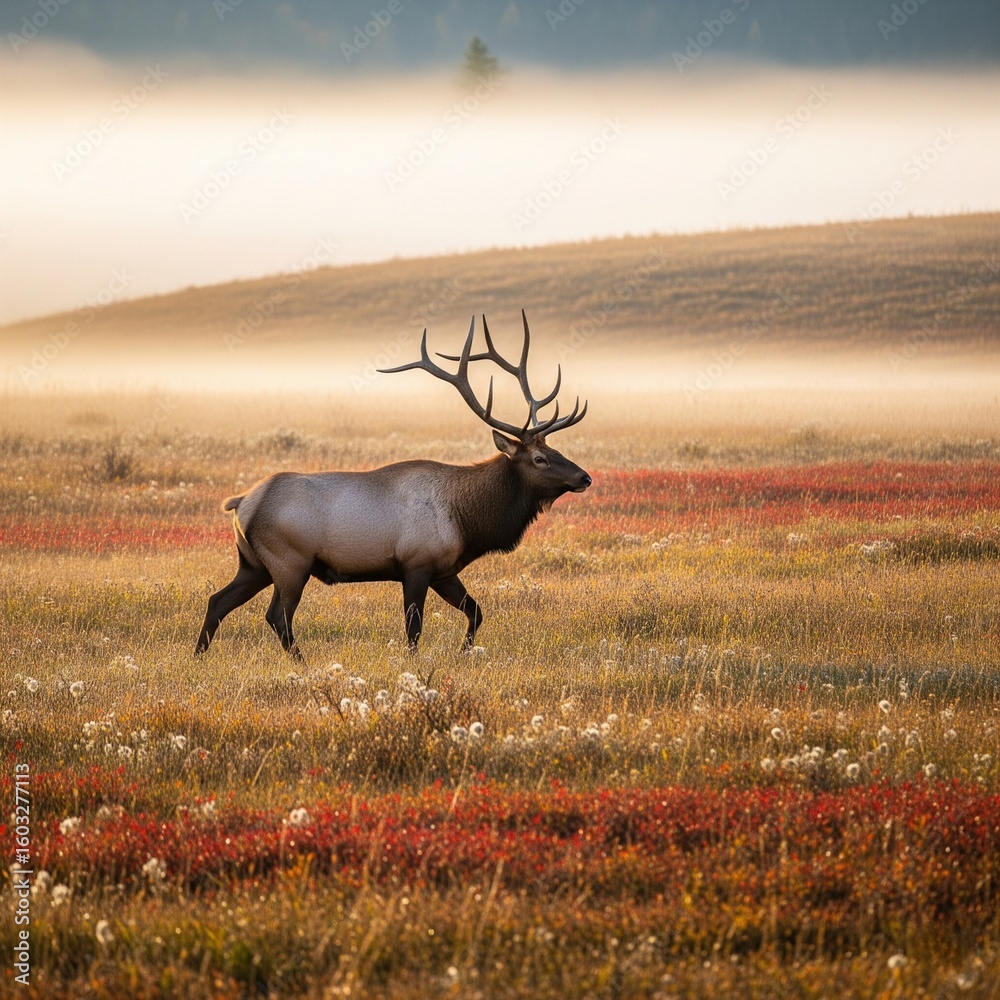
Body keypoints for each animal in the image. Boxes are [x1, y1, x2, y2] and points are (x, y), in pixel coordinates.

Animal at [194, 310, 591, 660]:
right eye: (539, 458)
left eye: (555, 449)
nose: (584, 477)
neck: (467, 520)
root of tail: (242, 502)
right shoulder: (416, 564)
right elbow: (413, 630)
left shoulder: (444, 571)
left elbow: (476, 612)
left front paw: (464, 652)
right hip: (290, 561)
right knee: (277, 616)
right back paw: (302, 663)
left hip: (254, 565)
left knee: (217, 601)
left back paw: (198, 656)